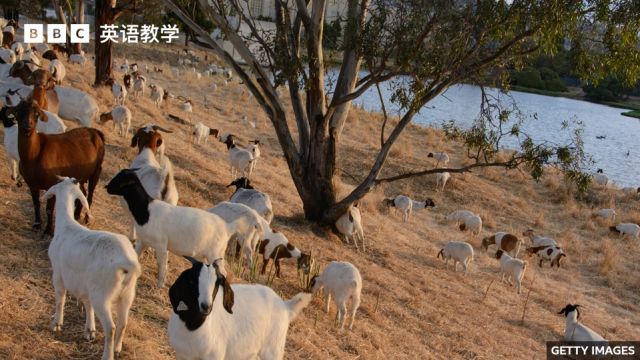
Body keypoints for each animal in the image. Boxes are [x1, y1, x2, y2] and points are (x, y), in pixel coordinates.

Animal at [12, 100, 105, 235]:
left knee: (90, 194)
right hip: (81, 175)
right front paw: (37, 225)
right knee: (83, 192)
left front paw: (48, 230)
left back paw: (87, 218)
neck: (34, 154)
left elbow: (49, 209)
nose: (27, 126)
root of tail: (95, 132)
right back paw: (76, 215)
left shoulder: (52, 183)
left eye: (36, 114)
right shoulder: (32, 184)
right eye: (19, 111)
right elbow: (36, 204)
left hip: (97, 171)